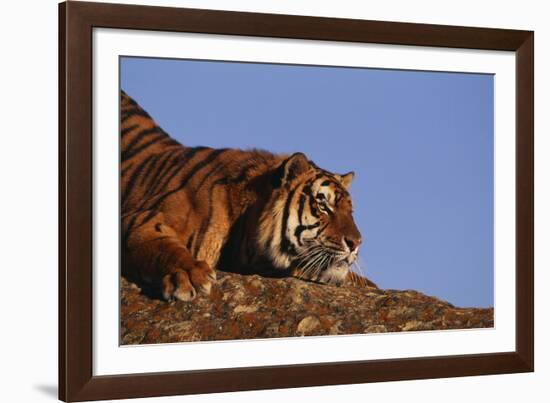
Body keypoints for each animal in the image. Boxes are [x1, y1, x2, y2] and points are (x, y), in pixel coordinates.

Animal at [122, 89, 378, 304]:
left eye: (350, 211)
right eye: (323, 204)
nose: (356, 243)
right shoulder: (142, 217)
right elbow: (161, 244)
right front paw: (189, 275)